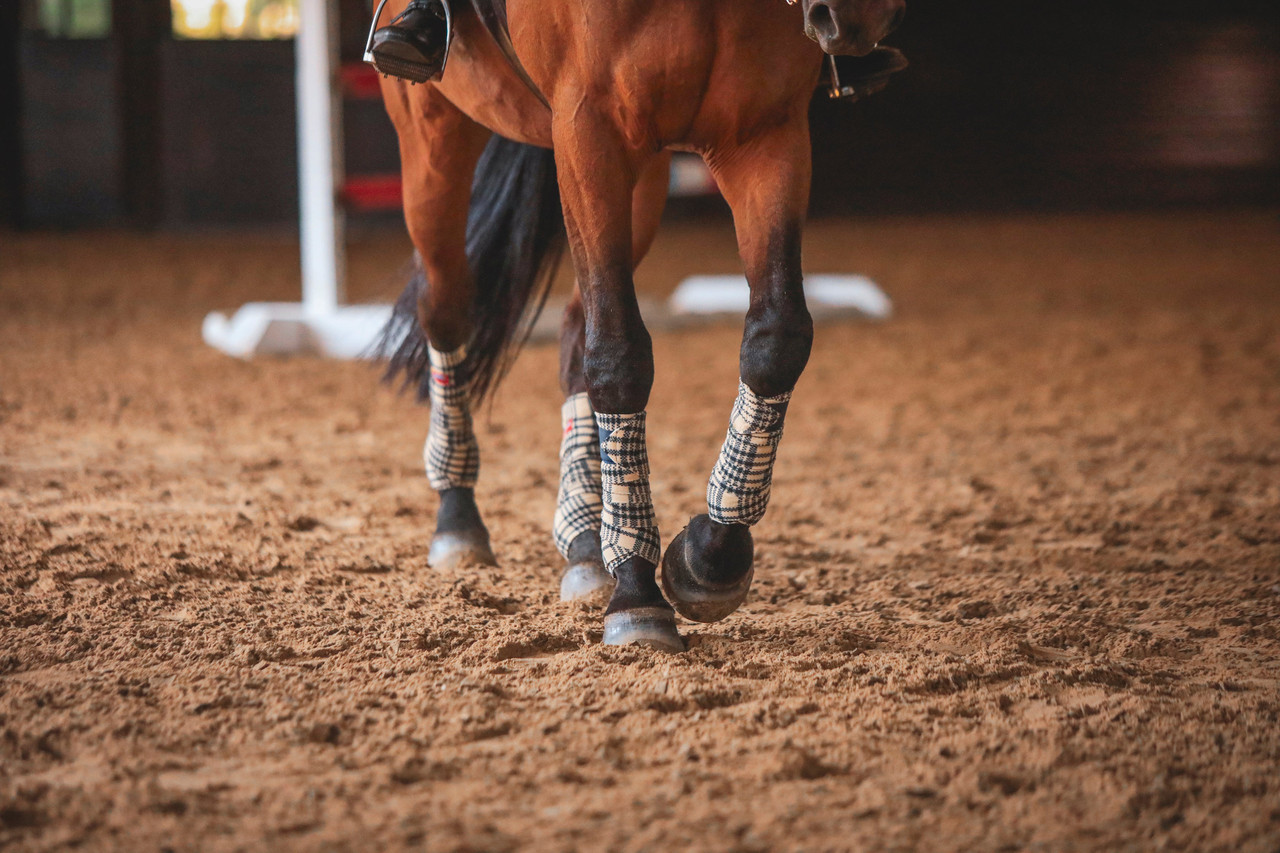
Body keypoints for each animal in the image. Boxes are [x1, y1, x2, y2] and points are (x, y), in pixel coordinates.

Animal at [375, 0, 906, 652]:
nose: (860, 21)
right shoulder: (589, 132)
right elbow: (619, 357)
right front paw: (636, 592)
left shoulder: (766, 133)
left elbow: (778, 337)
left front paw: (707, 558)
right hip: (433, 130)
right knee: (447, 307)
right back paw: (457, 519)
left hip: (645, 176)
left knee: (574, 331)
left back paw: (584, 541)